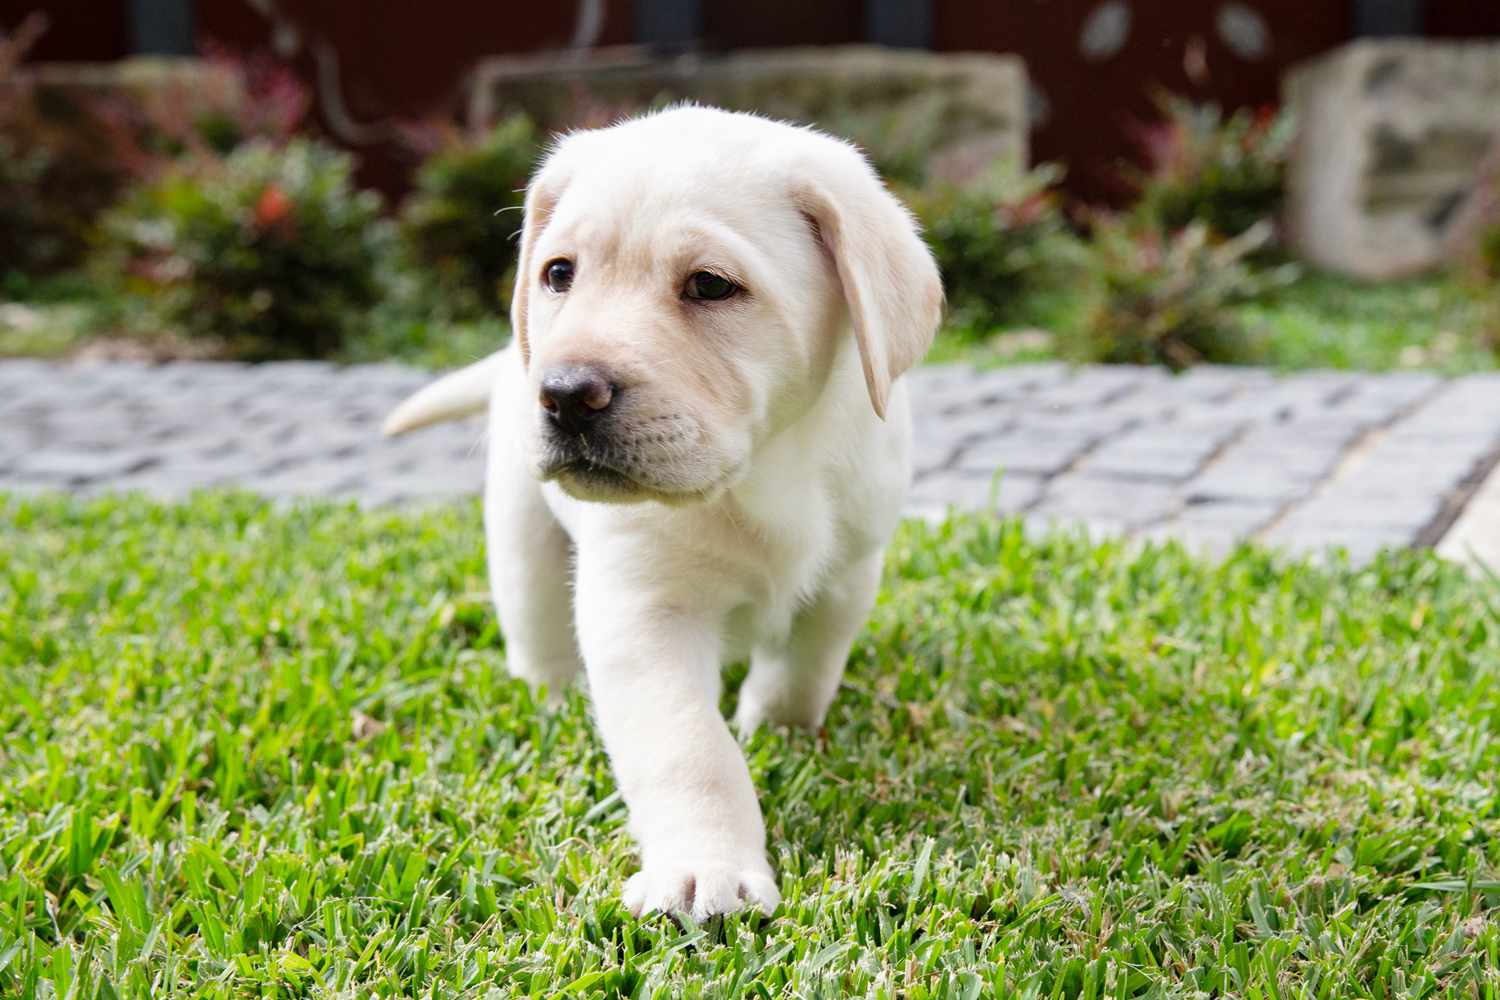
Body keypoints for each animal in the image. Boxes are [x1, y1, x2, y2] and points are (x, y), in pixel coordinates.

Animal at [381, 105, 936, 917]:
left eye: (709, 285)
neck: (763, 468)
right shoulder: (644, 609)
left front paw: (780, 731)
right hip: (520, 535)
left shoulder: (847, 574)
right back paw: (552, 695)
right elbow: (689, 746)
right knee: (536, 628)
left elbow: (804, 669)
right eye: (559, 274)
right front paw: (706, 863)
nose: (564, 393)